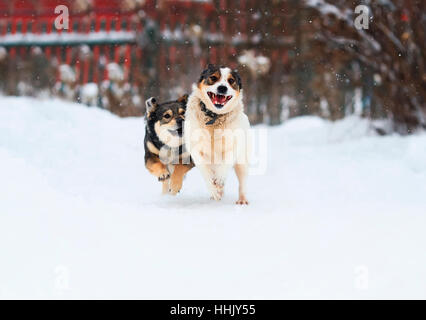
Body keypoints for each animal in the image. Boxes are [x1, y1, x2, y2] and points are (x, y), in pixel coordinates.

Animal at [186, 64, 251, 205]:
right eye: (213, 78)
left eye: (231, 81)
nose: (222, 87)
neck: (214, 116)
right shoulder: (195, 148)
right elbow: (205, 171)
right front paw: (213, 190)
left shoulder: (233, 145)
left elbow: (226, 163)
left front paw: (220, 179)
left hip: (242, 162)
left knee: (242, 182)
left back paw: (242, 199)